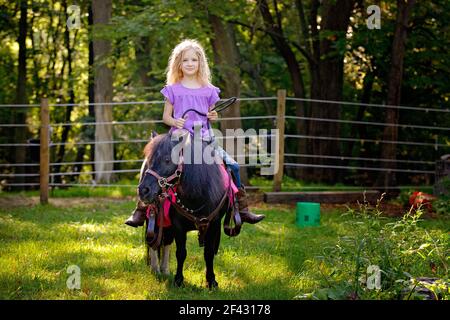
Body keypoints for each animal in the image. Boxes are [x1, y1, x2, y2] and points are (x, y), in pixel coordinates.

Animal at [138, 131, 236, 288]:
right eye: (150, 160)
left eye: (167, 159)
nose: (143, 190)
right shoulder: (178, 226)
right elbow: (181, 253)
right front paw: (178, 280)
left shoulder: (214, 224)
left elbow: (208, 253)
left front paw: (211, 281)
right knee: (153, 240)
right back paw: (155, 269)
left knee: (166, 241)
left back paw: (165, 270)